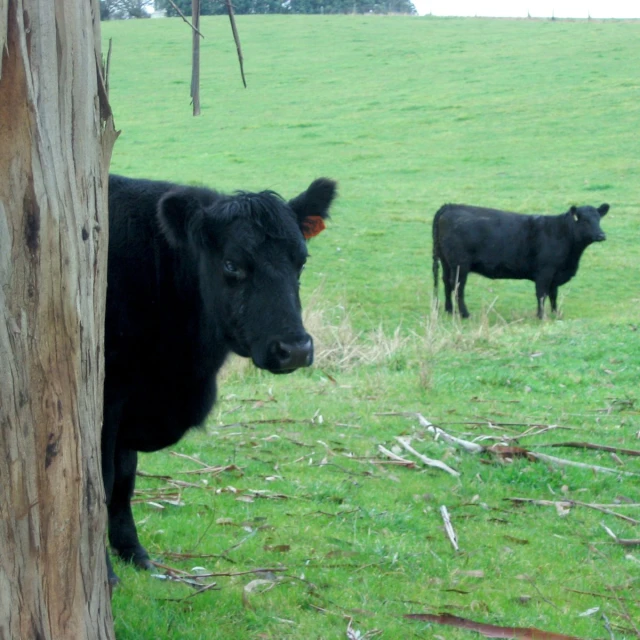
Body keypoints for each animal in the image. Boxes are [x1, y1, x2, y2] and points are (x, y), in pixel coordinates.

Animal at [103, 172, 338, 584]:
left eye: (302, 261)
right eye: (231, 264)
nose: (294, 348)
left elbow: (123, 480)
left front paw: (134, 553)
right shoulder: (106, 397)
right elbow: (95, 482)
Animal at [432, 201, 608, 318]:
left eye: (599, 219)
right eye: (584, 220)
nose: (601, 235)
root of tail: (450, 206)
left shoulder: (555, 274)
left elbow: (553, 295)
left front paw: (555, 313)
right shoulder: (545, 271)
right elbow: (541, 294)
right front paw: (541, 316)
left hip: (446, 262)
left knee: (446, 283)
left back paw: (449, 310)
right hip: (460, 265)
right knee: (457, 287)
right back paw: (464, 314)